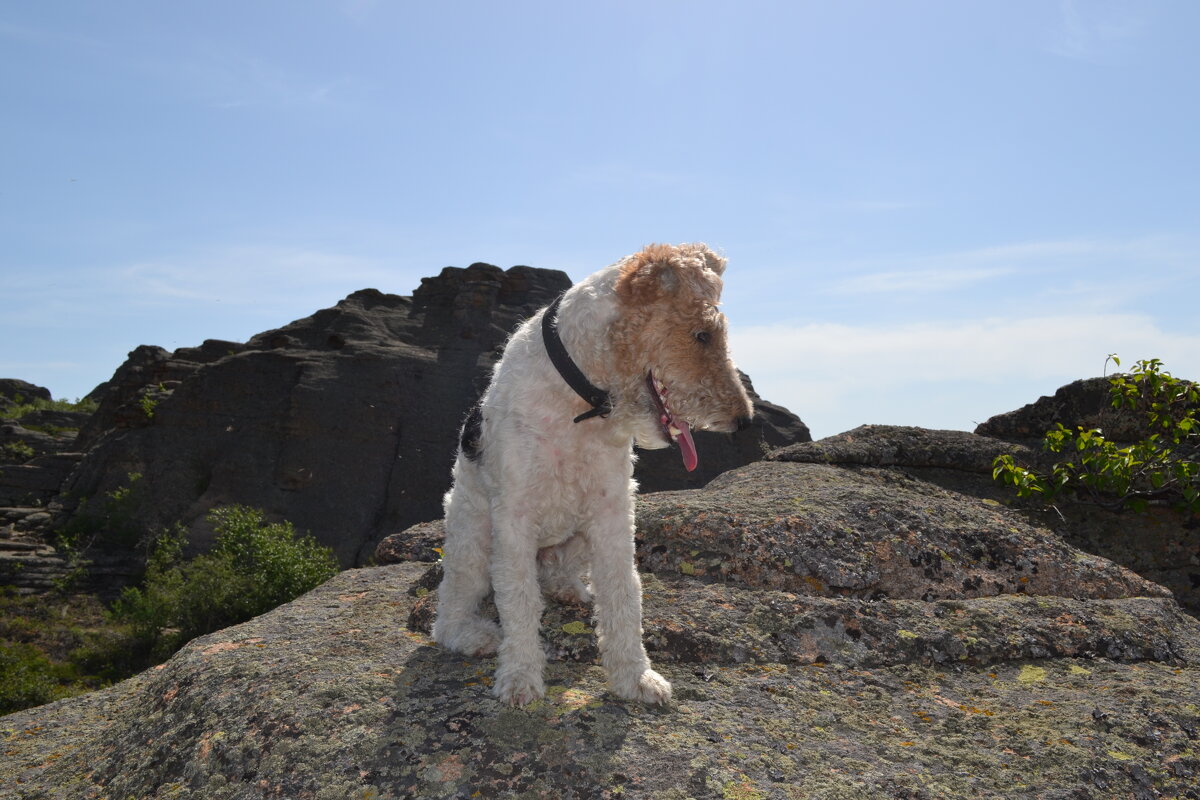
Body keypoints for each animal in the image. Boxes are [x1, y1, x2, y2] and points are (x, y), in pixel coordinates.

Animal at [432, 244, 748, 705]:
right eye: (702, 334)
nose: (744, 421)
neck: (581, 397)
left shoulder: (613, 509)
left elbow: (623, 593)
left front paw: (636, 677)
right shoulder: (514, 518)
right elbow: (519, 600)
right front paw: (520, 679)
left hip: (577, 535)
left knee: (555, 574)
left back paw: (570, 589)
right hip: (472, 538)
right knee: (449, 613)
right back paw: (478, 636)